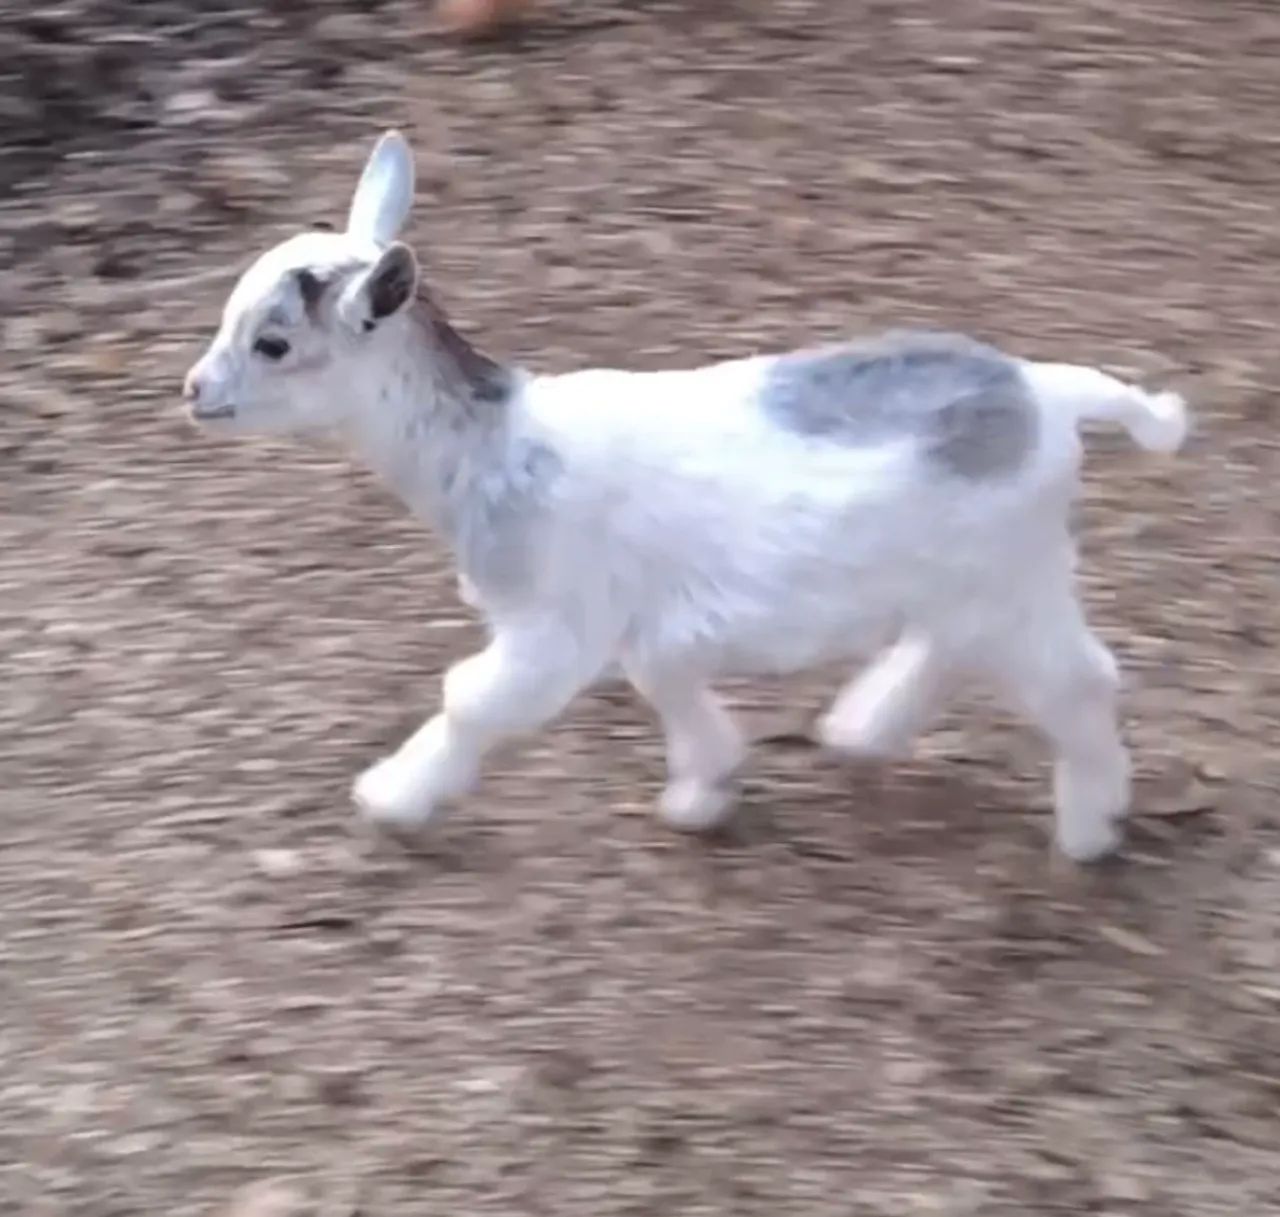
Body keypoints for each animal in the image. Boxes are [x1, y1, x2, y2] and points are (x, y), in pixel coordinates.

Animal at [184, 129, 1189, 862]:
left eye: (273, 341)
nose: (195, 391)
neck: (497, 448)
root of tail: (1047, 393)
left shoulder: (556, 626)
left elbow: (472, 698)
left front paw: (391, 798)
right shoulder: (644, 618)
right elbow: (664, 680)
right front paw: (705, 789)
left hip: (1014, 575)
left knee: (1078, 679)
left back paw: (1090, 825)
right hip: (976, 577)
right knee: (951, 646)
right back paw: (864, 727)